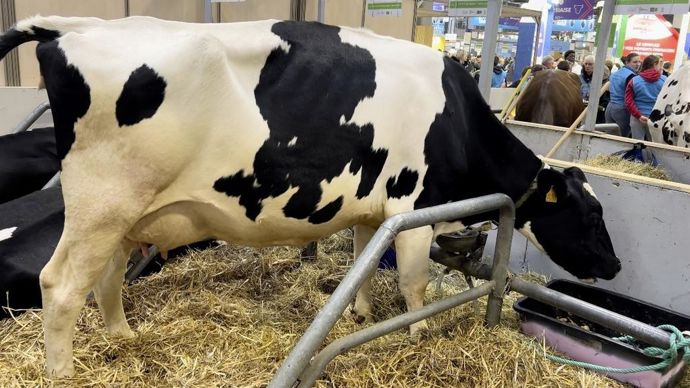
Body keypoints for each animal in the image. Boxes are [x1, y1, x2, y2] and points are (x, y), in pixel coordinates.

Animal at [0, 16, 620, 378]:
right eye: (591, 214)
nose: (614, 266)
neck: (458, 120)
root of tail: (73, 27)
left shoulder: (377, 210)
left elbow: (364, 261)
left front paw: (362, 315)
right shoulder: (415, 208)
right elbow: (414, 283)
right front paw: (419, 334)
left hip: (126, 213)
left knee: (105, 277)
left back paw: (124, 338)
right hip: (101, 203)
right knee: (61, 286)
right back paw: (63, 374)